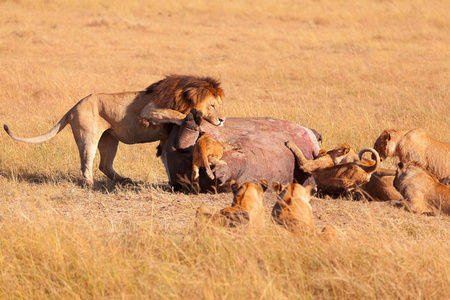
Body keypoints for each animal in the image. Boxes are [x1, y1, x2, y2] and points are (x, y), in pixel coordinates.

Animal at [4, 75, 225, 188]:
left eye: (219, 105)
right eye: (213, 106)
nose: (222, 120)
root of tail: (73, 107)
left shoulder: (163, 138)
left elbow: (166, 161)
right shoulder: (150, 110)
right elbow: (175, 113)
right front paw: (193, 120)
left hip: (110, 140)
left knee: (104, 165)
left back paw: (124, 180)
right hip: (88, 137)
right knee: (86, 165)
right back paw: (93, 186)